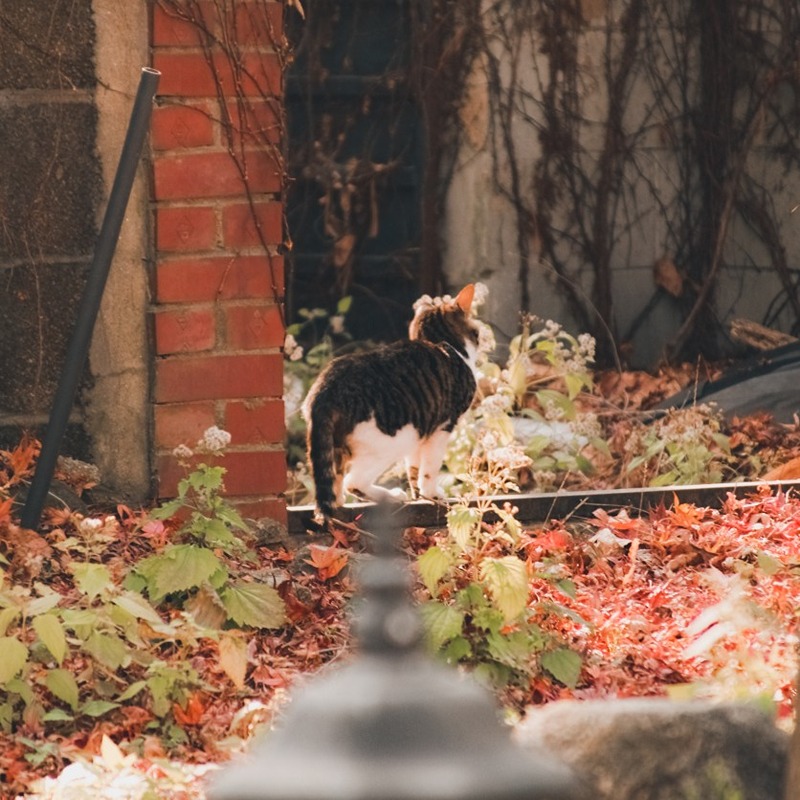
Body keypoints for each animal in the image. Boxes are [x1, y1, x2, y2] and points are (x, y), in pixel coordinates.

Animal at [302, 284, 482, 520]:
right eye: (477, 332)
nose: (480, 341)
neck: (440, 343)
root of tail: (325, 390)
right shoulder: (442, 428)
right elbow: (430, 468)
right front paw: (431, 494)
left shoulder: (422, 428)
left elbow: (413, 468)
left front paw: (418, 495)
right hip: (393, 441)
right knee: (354, 482)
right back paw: (392, 495)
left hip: (343, 446)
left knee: (335, 483)